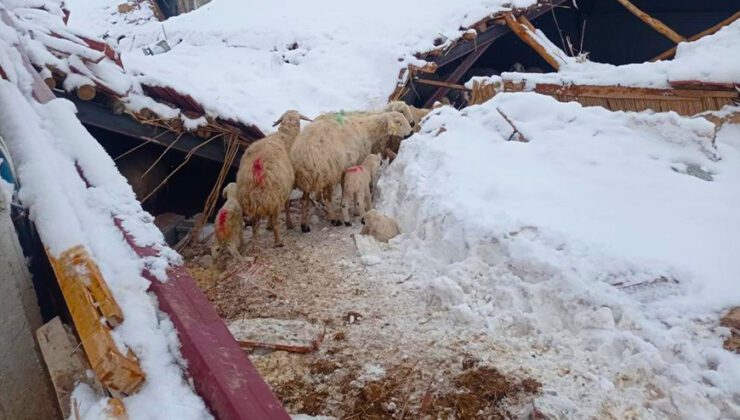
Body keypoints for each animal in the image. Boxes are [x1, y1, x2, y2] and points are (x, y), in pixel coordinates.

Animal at [234, 110, 310, 251]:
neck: (285, 136)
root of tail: (257, 169)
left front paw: (268, 226)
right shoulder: (285, 188)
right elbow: (287, 204)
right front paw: (289, 224)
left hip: (252, 198)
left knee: (255, 225)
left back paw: (254, 246)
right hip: (273, 193)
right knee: (274, 220)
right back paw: (278, 241)